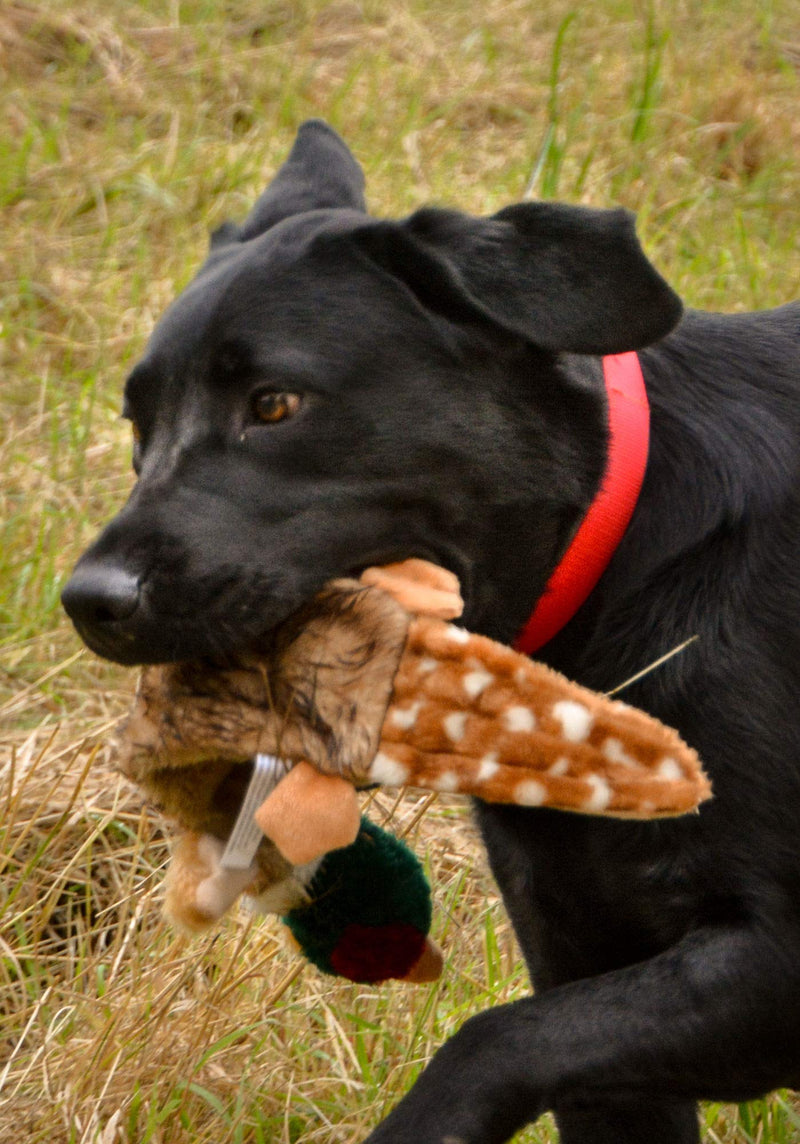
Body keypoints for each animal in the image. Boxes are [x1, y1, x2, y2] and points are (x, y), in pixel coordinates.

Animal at [62, 120, 800, 1139]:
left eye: (274, 405)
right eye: (139, 425)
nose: (89, 600)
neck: (618, 558)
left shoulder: (773, 959)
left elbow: (490, 1040)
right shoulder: (588, 969)